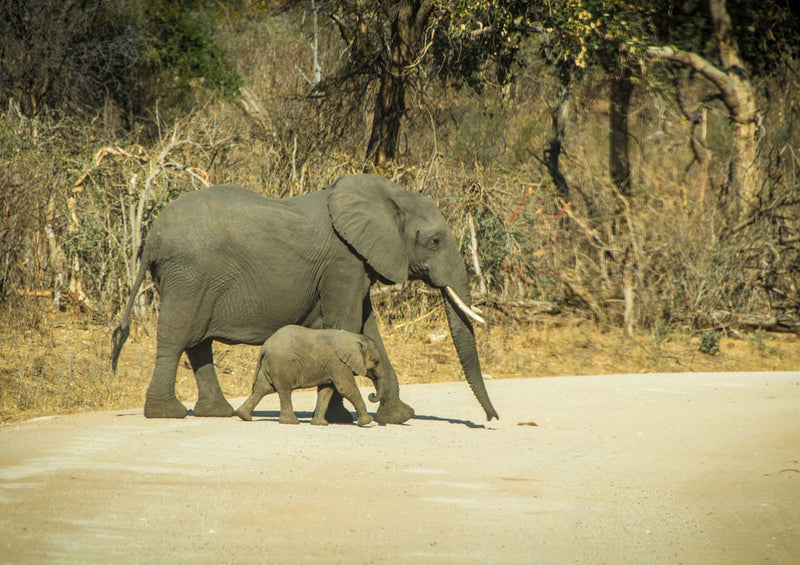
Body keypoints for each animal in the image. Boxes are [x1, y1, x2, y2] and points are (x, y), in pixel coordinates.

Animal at [236, 324, 382, 426]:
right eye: (375, 361)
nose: (372, 395)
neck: (354, 337)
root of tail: (265, 345)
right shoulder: (338, 363)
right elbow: (345, 388)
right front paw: (367, 422)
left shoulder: (330, 366)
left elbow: (326, 391)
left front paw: (320, 424)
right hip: (282, 365)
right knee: (284, 390)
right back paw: (291, 422)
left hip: (270, 364)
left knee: (262, 388)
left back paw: (244, 416)